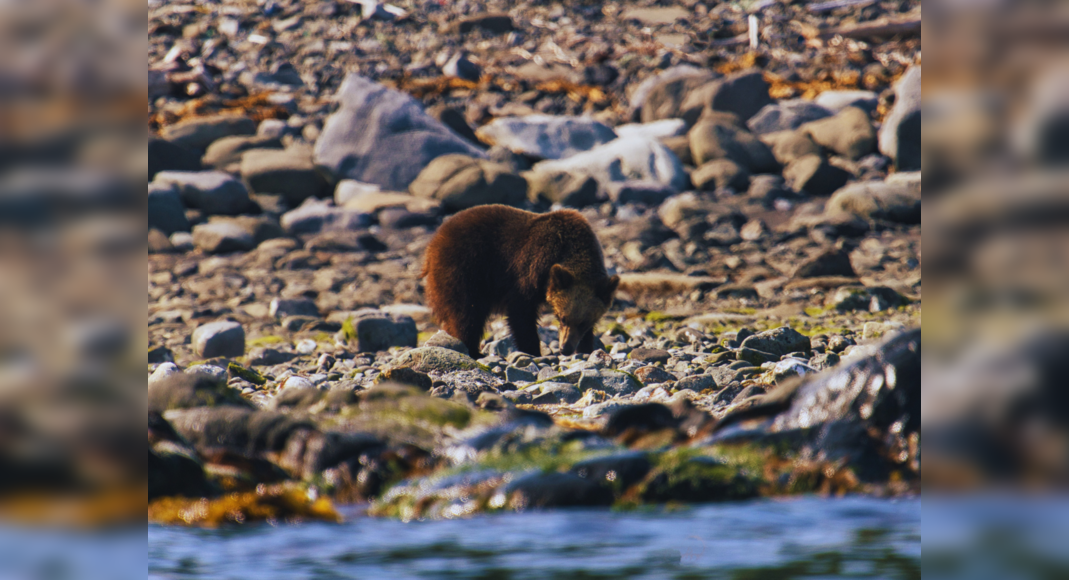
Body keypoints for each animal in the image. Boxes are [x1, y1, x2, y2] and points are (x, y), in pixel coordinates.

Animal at [419, 204, 620, 358]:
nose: (565, 349)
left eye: (584, 322)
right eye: (562, 318)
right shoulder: (530, 268)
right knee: (466, 313)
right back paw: (472, 351)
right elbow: (521, 312)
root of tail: (432, 246)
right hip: (463, 271)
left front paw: (586, 348)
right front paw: (533, 351)